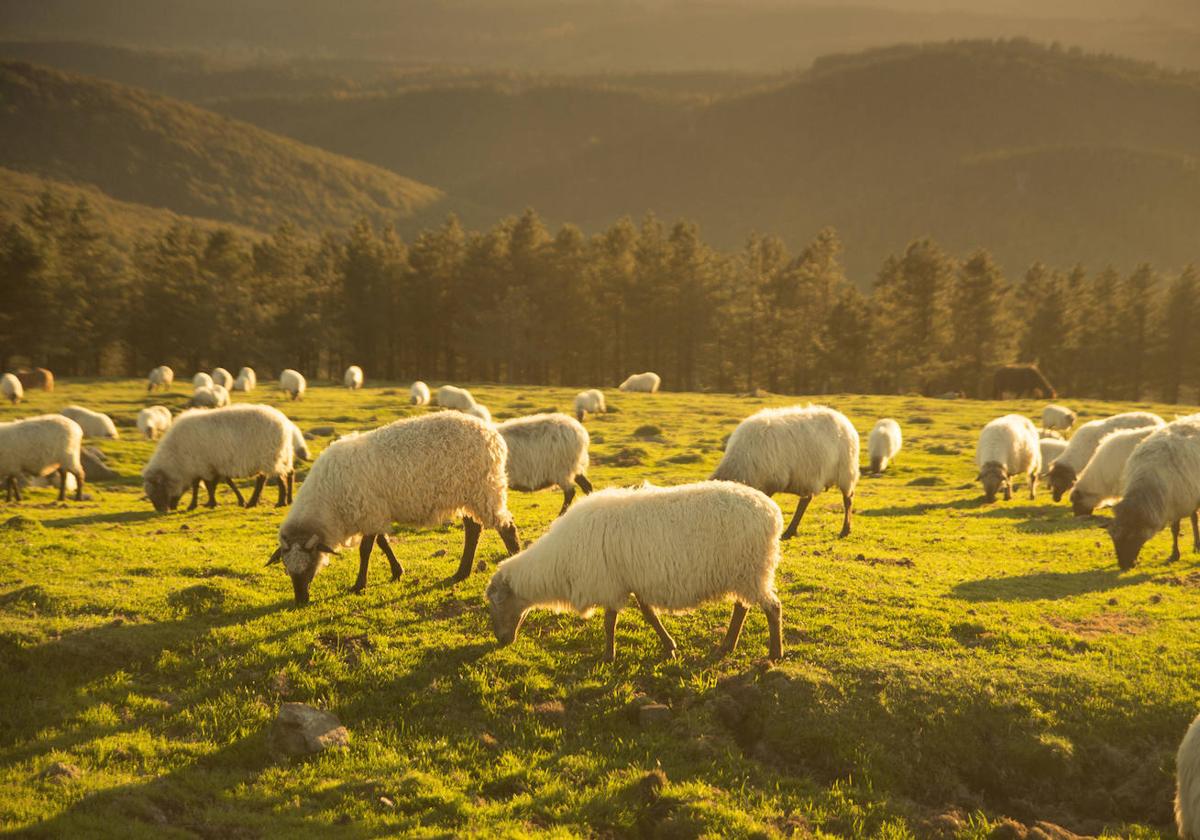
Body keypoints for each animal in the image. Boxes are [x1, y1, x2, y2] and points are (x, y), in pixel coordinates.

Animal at [141, 405, 297, 516]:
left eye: (158, 490)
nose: (162, 511)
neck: (177, 460)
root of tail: (283, 423)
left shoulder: (201, 465)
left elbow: (203, 485)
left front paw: (200, 504)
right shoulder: (211, 465)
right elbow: (214, 484)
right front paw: (210, 503)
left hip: (270, 457)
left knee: (278, 478)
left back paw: (280, 502)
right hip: (279, 455)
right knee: (280, 475)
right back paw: (272, 501)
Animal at [267, 412, 520, 604]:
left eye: (309, 566)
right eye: (286, 568)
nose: (301, 600)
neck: (328, 502)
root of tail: (493, 436)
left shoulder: (369, 511)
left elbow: (366, 550)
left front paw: (359, 585)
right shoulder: (376, 512)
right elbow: (383, 542)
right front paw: (397, 572)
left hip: (484, 489)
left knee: (506, 527)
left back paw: (513, 561)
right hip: (466, 495)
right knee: (473, 530)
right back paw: (461, 572)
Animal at [482, 480, 782, 662]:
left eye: (497, 602)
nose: (501, 641)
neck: (558, 560)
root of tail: (771, 511)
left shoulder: (609, 583)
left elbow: (609, 622)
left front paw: (608, 656)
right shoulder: (629, 580)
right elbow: (649, 615)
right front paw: (669, 647)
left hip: (751, 569)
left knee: (772, 607)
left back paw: (775, 653)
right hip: (745, 572)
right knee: (742, 607)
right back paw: (727, 645)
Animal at [705, 405, 859, 537]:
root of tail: (842, 418)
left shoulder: (771, 482)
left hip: (846, 471)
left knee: (848, 499)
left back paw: (845, 530)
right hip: (807, 474)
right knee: (806, 500)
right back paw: (790, 531)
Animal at [1104, 415, 1200, 571]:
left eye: (1132, 537)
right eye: (1113, 539)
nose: (1125, 566)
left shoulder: (1176, 504)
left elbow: (1175, 529)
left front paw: (1175, 555)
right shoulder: (1175, 505)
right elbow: (1175, 530)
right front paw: (1174, 554)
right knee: (1194, 518)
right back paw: (1196, 546)